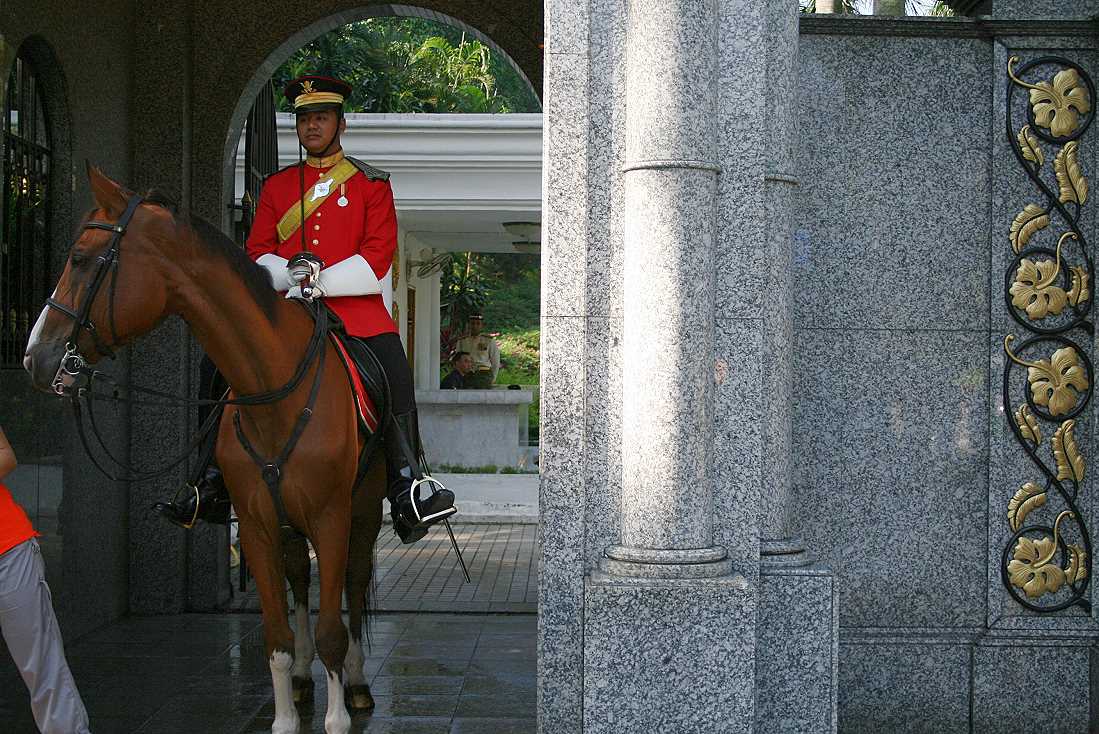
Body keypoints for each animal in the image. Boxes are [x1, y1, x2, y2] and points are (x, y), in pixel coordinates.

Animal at [21, 168, 391, 734]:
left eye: (81, 259)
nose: (35, 357)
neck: (273, 389)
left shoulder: (332, 516)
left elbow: (333, 626)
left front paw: (337, 715)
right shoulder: (257, 524)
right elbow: (277, 638)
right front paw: (287, 715)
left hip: (364, 511)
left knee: (351, 582)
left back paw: (355, 682)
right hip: (289, 524)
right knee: (299, 581)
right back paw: (304, 677)